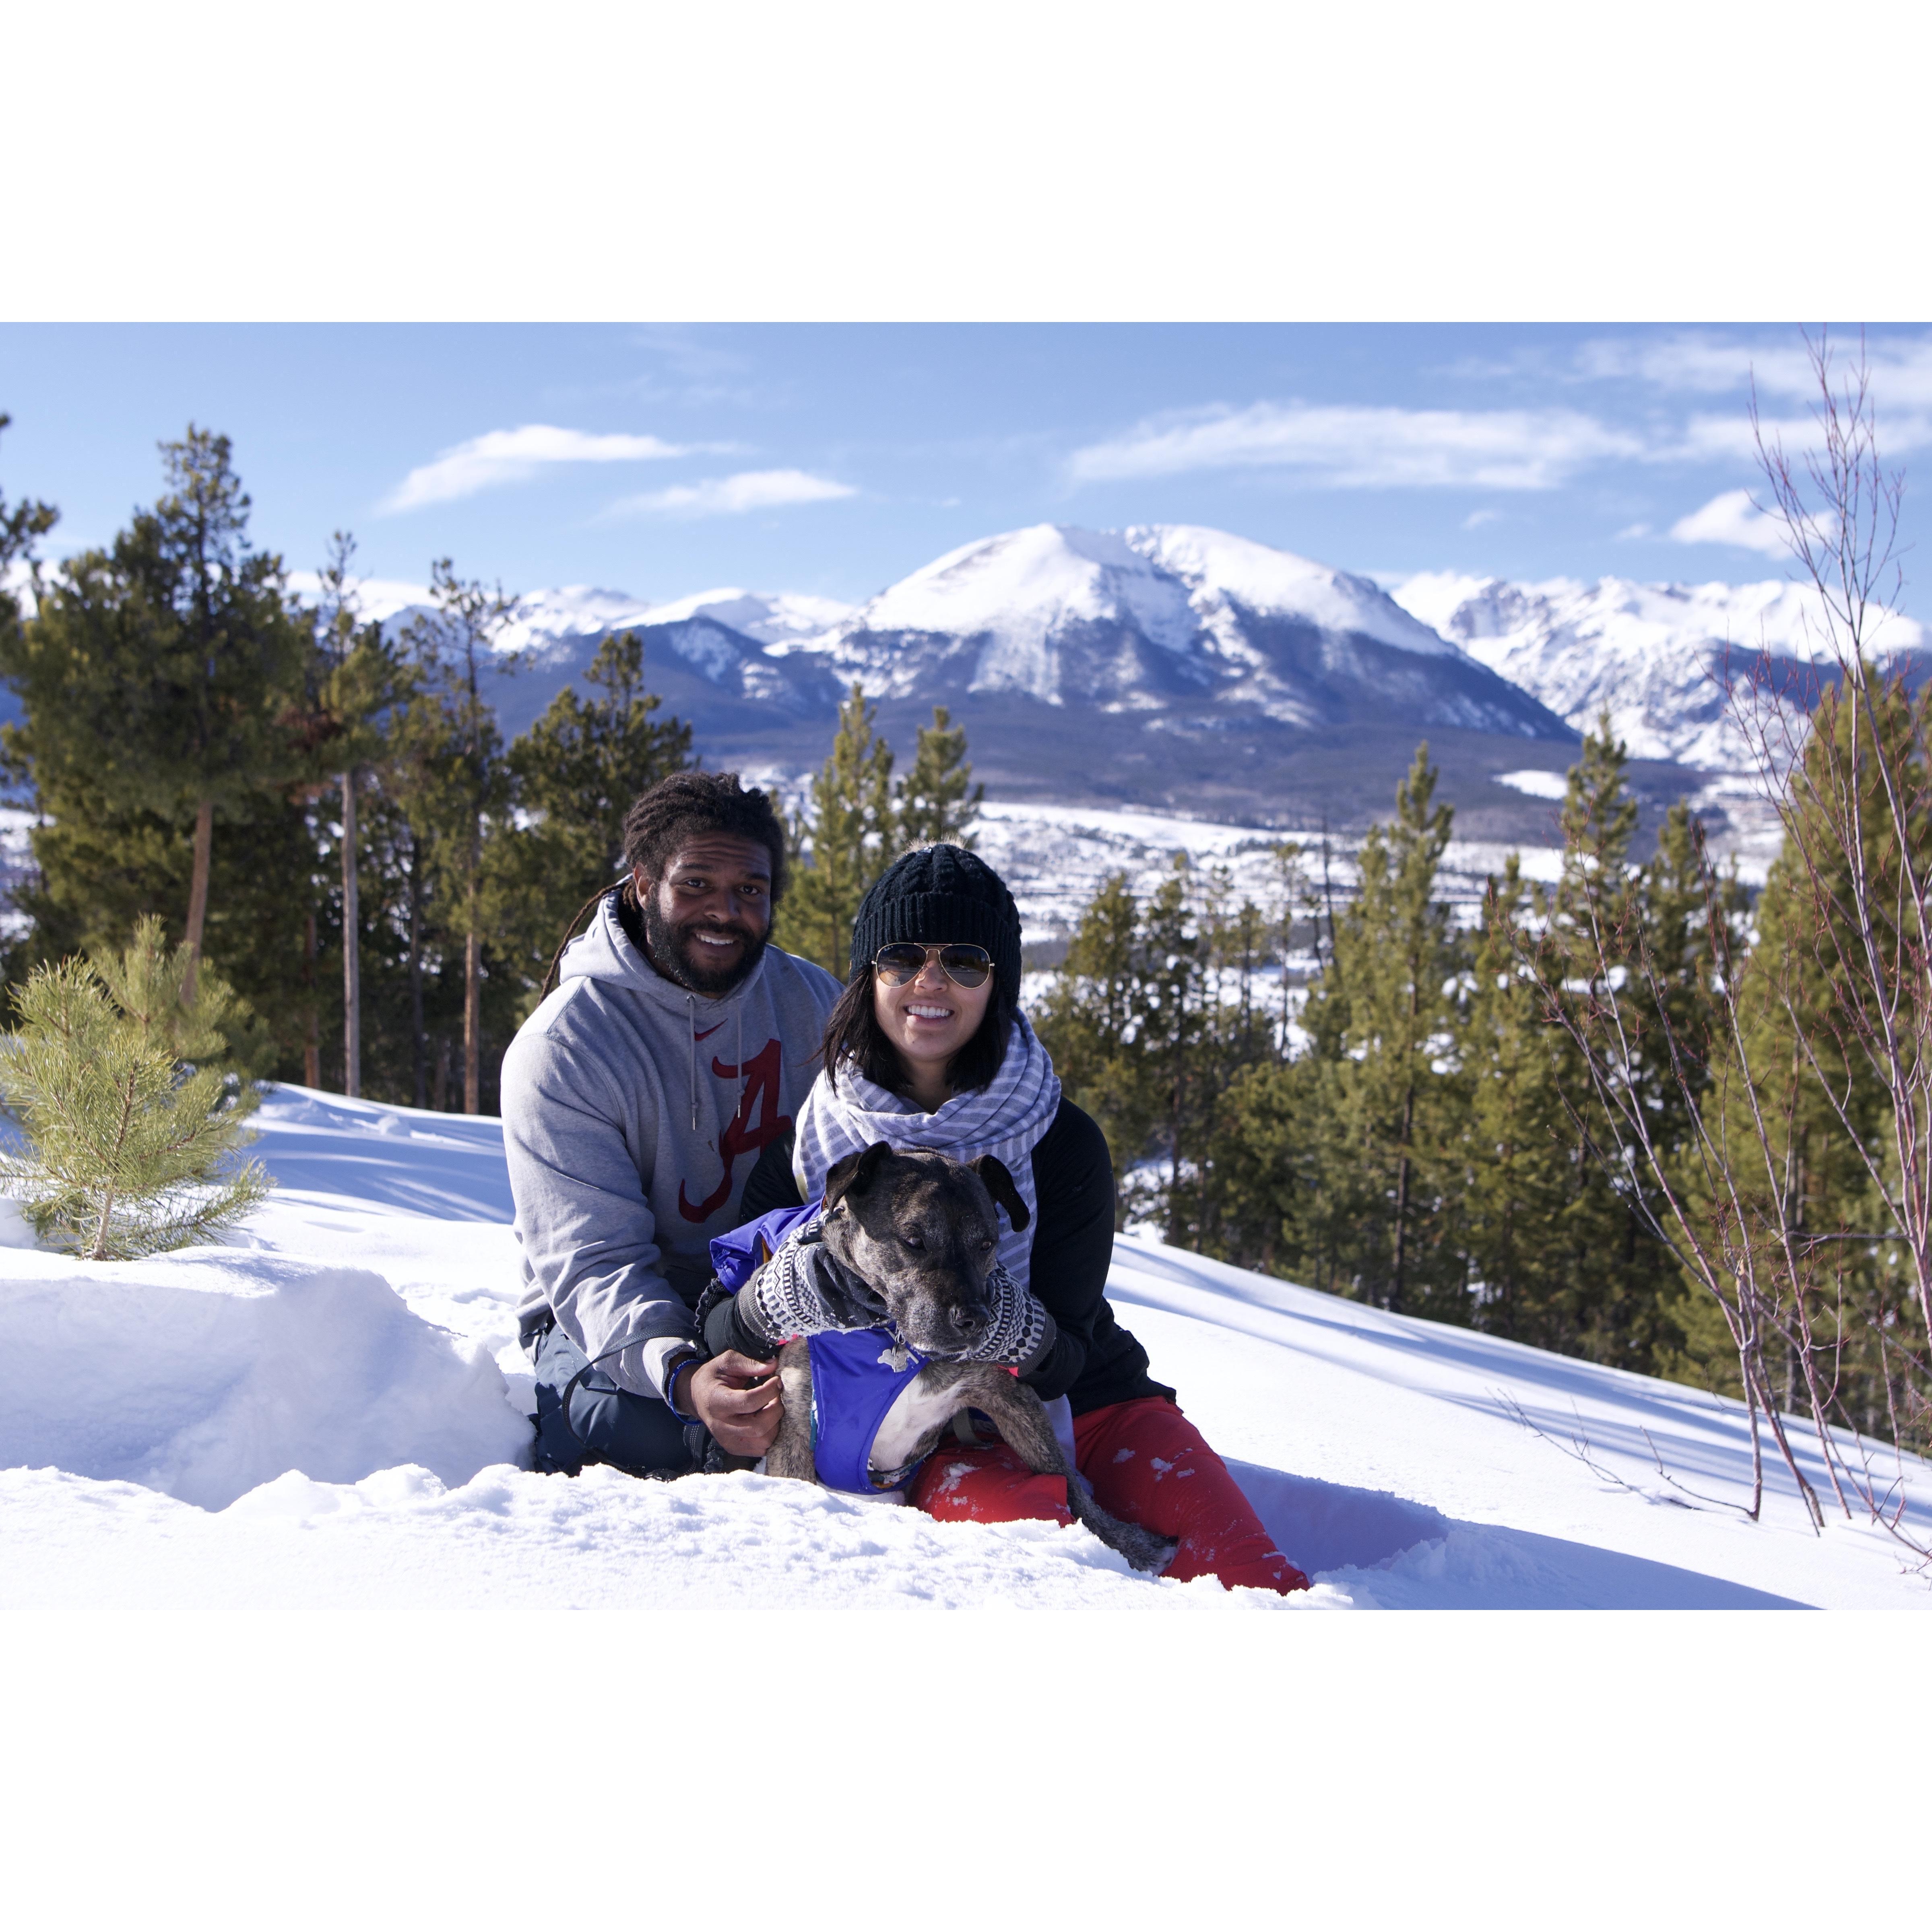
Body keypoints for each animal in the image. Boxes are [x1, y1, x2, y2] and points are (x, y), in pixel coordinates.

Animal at [761, 1136, 1167, 1576]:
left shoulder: (1008, 1394)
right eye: (914, 1240)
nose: (975, 1319)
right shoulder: (796, 1428)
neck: (893, 1337)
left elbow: (1066, 1480)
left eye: (987, 1244)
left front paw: (1128, 1544)